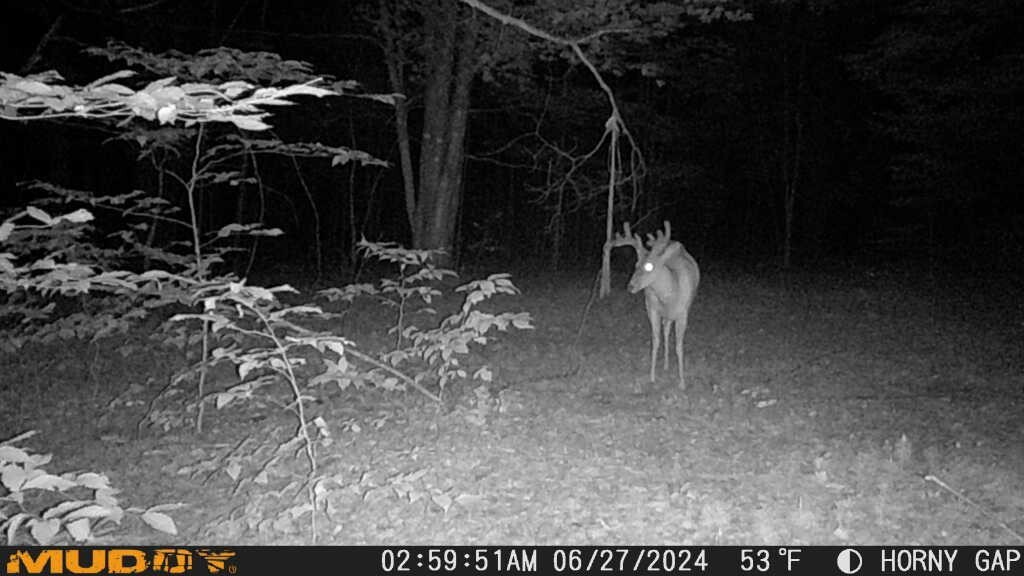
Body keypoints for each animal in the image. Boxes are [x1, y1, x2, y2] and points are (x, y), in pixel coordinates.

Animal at [607, 221, 700, 390]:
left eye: (649, 266)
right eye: (636, 264)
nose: (630, 286)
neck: (670, 293)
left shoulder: (683, 314)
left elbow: (679, 346)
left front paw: (682, 382)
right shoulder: (652, 309)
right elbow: (655, 341)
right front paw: (652, 377)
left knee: (668, 331)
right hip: (663, 313)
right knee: (666, 331)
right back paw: (665, 365)